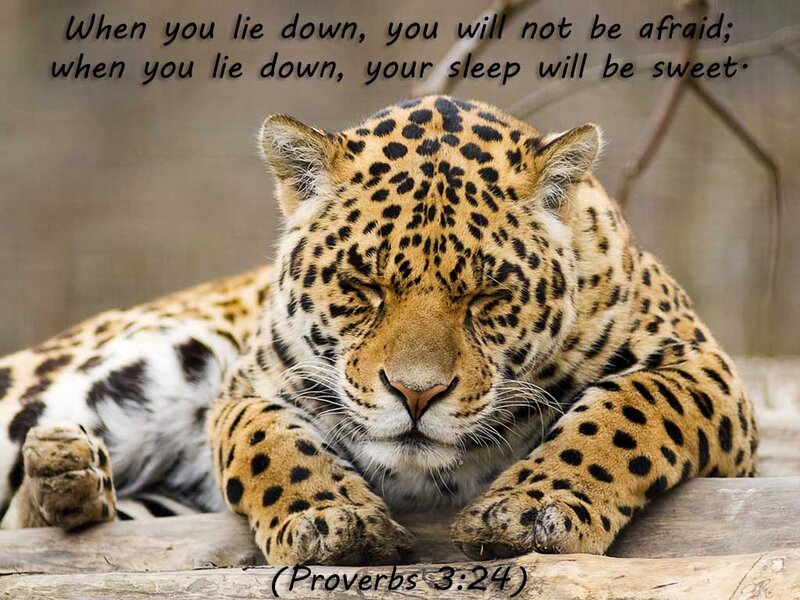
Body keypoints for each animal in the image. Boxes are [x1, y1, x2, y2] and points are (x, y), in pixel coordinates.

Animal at [0, 95, 758, 565]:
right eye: (362, 288)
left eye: (487, 297)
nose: (417, 396)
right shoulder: (246, 386)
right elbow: (265, 441)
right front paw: (329, 521)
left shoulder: (703, 369)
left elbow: (627, 414)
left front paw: (532, 508)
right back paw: (64, 467)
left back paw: (67, 484)